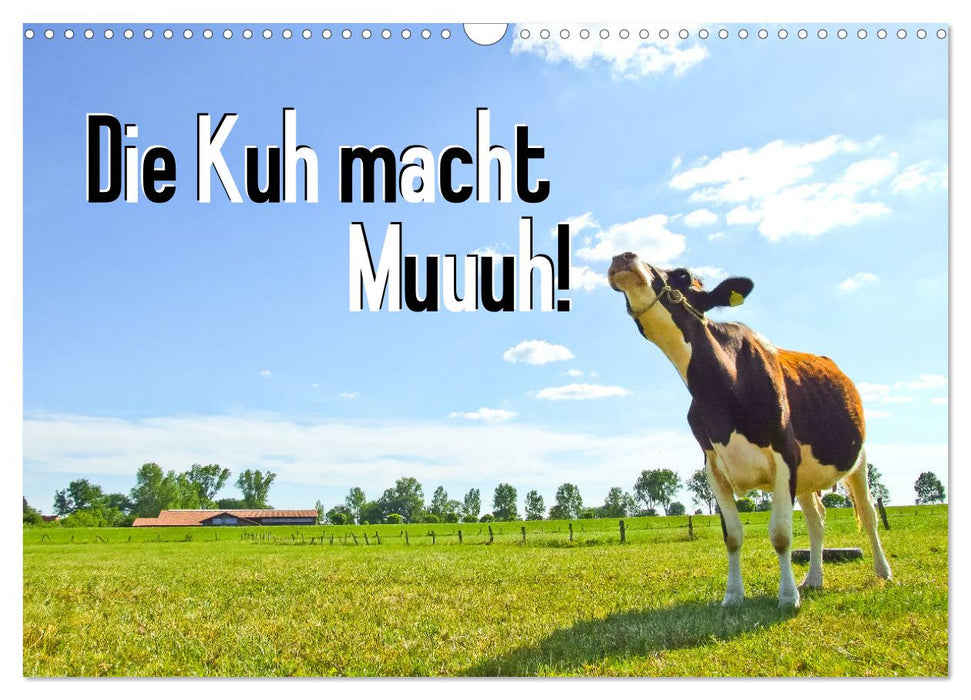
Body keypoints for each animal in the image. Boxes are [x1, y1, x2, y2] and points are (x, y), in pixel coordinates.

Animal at [607, 252, 892, 609]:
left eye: (684, 276)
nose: (623, 256)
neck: (723, 393)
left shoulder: (785, 454)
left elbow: (781, 534)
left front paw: (787, 597)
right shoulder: (714, 466)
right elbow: (732, 536)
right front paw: (733, 595)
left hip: (859, 458)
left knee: (867, 513)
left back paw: (883, 572)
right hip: (806, 476)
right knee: (817, 520)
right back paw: (813, 579)